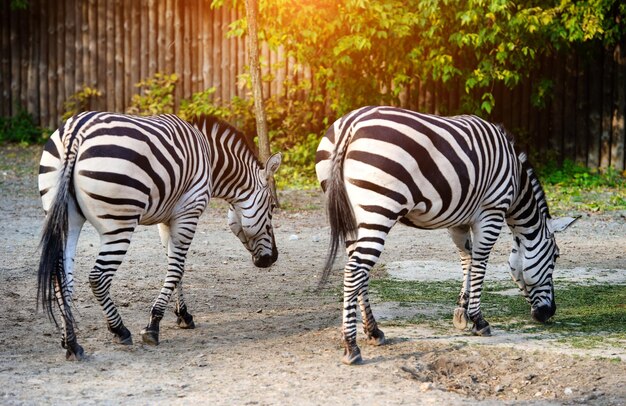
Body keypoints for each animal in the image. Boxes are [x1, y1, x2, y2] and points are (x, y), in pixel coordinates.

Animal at [38, 110, 280, 358]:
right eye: (272, 208)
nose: (273, 258)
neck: (211, 162)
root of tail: (76, 132)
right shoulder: (189, 213)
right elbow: (176, 269)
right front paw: (153, 325)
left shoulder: (167, 219)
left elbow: (175, 266)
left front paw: (183, 315)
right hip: (119, 223)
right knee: (98, 277)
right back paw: (119, 330)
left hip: (67, 219)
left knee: (61, 278)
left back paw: (71, 342)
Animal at [316, 105, 576, 364]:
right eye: (556, 257)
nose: (549, 313)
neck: (515, 178)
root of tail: (351, 124)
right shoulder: (492, 211)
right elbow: (480, 262)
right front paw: (479, 320)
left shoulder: (459, 220)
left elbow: (467, 259)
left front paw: (462, 312)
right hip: (379, 210)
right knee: (354, 270)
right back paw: (351, 347)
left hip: (354, 216)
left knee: (360, 270)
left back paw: (373, 331)